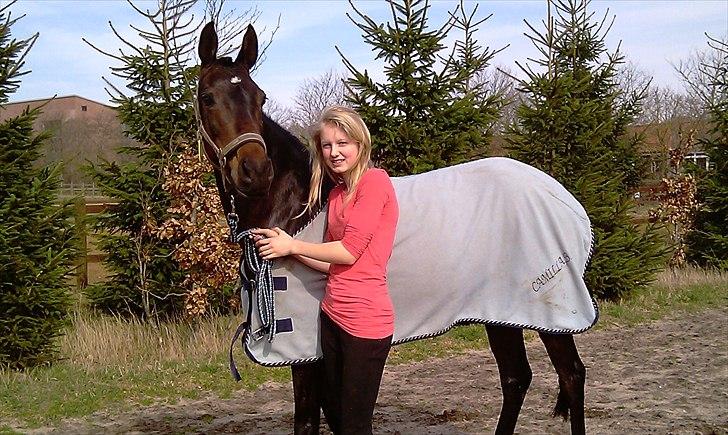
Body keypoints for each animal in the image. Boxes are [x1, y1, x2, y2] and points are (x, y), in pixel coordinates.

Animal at [196, 23, 588, 435]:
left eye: (261, 98)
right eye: (208, 97)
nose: (255, 171)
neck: (295, 206)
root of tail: (565, 199)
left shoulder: (305, 352)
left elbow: (308, 421)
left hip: (551, 312)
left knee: (571, 375)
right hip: (502, 310)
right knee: (516, 378)